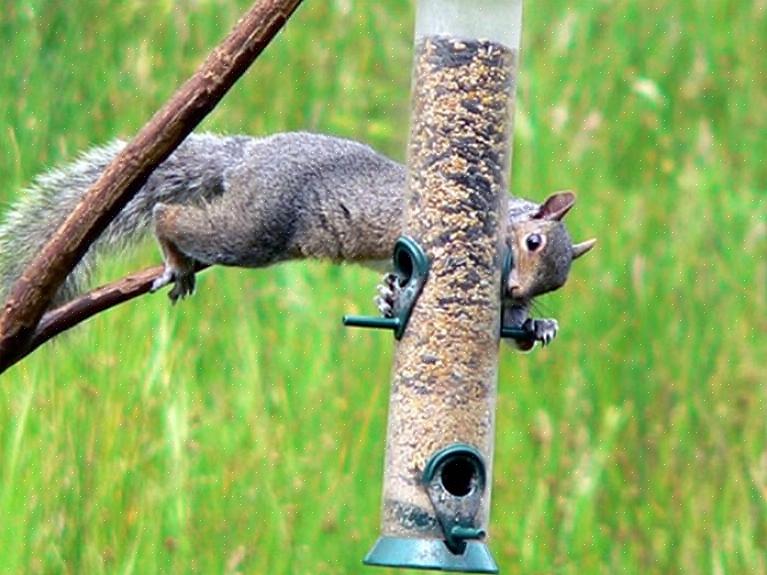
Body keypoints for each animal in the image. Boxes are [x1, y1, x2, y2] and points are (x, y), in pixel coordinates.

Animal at [0, 133, 596, 348]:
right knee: (171, 215)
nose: (517, 292)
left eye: (557, 282)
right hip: (253, 232)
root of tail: (247, 155)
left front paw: (536, 326)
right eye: (534, 242)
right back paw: (176, 257)